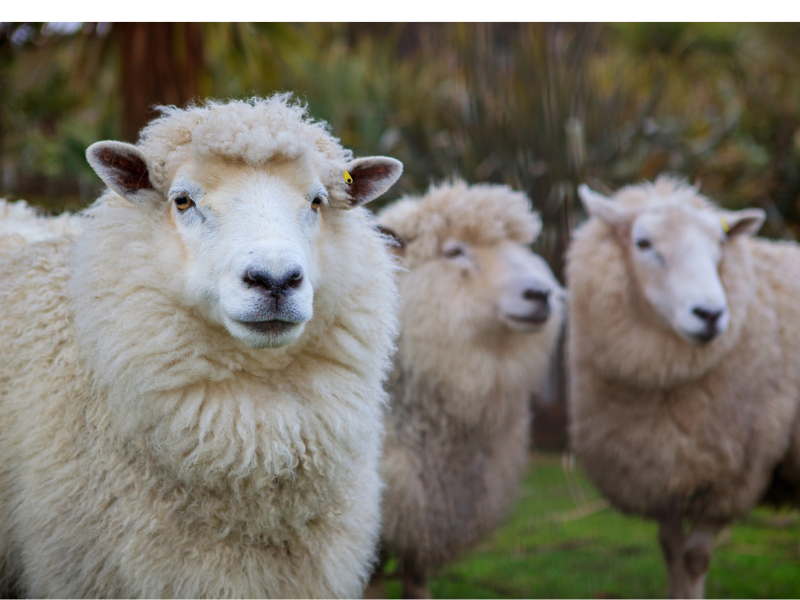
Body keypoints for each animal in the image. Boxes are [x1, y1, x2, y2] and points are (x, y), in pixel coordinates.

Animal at [564, 178, 800, 600]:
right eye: (642, 243)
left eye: (720, 244)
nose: (710, 314)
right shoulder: (658, 467)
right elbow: (671, 551)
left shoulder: (733, 476)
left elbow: (693, 558)